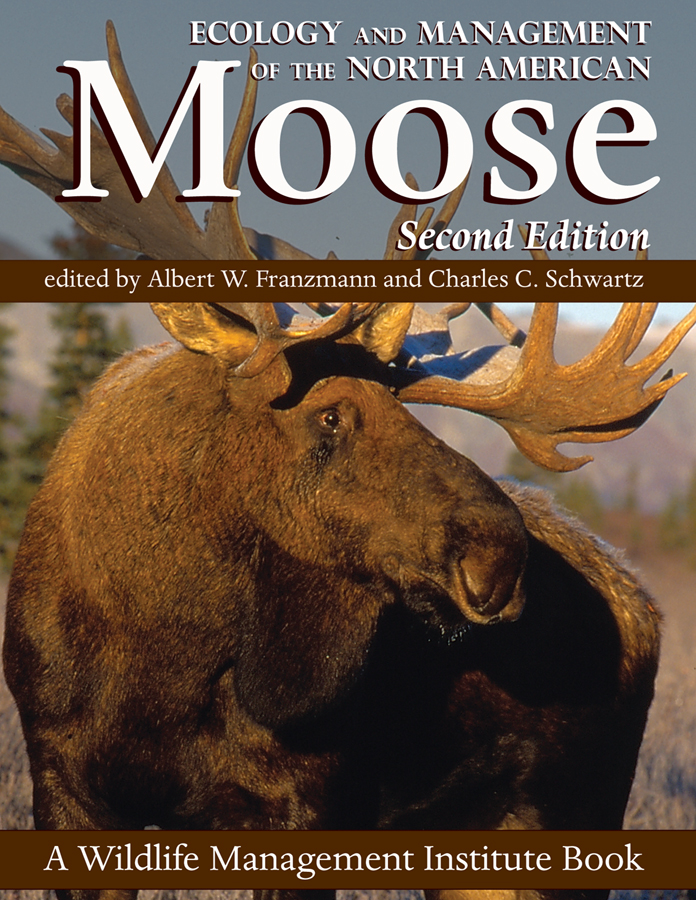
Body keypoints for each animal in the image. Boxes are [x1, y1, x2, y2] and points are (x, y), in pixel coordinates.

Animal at [1, 20, 695, 900]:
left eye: (406, 411)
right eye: (329, 414)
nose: (500, 558)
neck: (162, 654)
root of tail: (642, 602)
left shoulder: (303, 800)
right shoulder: (65, 785)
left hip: (567, 818)